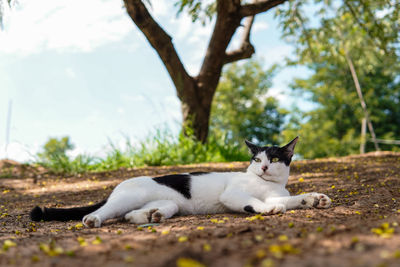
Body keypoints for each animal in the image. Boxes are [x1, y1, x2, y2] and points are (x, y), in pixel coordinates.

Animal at [30, 138, 332, 228]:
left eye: (275, 158)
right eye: (256, 159)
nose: (265, 167)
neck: (268, 185)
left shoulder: (276, 193)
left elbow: (290, 199)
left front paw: (313, 198)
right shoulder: (233, 195)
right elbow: (254, 202)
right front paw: (266, 209)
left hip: (166, 203)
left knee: (131, 215)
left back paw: (152, 215)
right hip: (125, 198)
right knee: (103, 211)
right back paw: (93, 220)